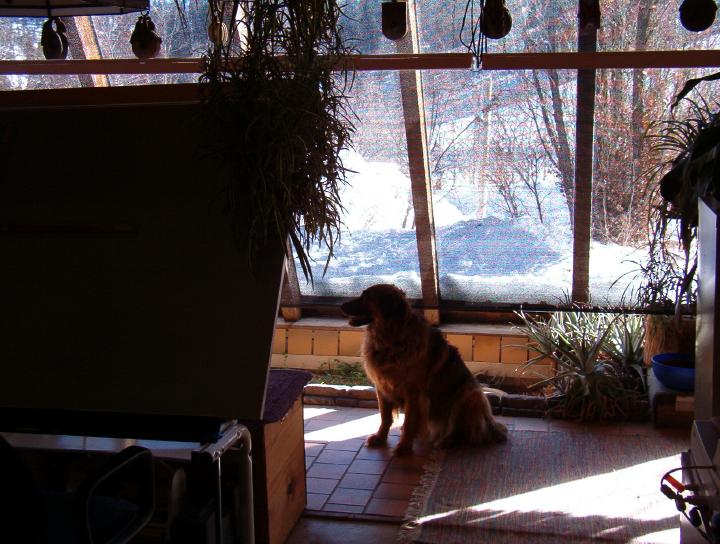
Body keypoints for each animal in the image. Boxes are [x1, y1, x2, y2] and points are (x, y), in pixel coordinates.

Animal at [342, 284, 506, 454]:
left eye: (366, 297)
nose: (341, 306)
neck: (391, 339)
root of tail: (491, 425)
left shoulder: (413, 393)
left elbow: (409, 422)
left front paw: (404, 447)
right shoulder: (382, 388)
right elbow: (385, 418)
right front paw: (380, 438)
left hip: (469, 395)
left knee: (462, 429)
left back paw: (447, 441)